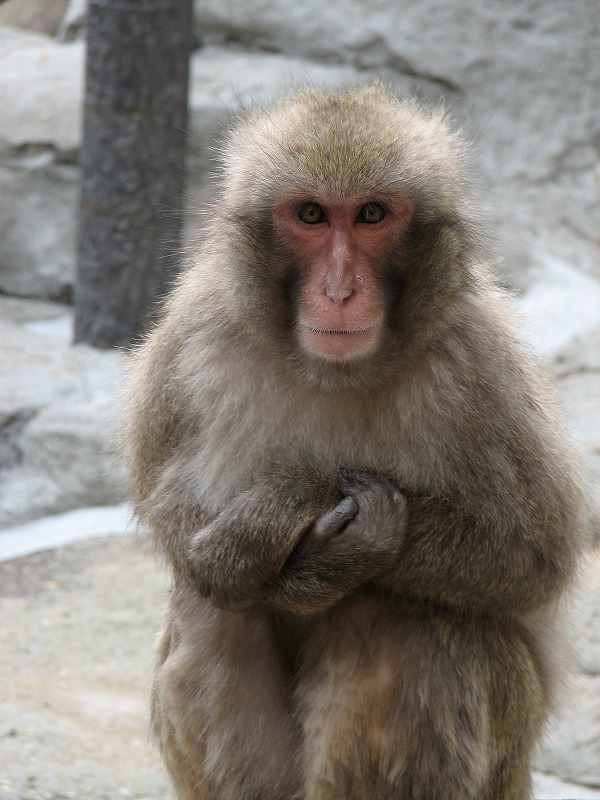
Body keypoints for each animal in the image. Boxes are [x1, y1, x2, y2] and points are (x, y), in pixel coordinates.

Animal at [122, 87, 584, 800]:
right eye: (311, 214)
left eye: (371, 214)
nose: (339, 290)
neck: (334, 370)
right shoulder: (193, 332)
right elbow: (177, 520)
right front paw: (277, 531)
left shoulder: (479, 362)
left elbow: (531, 554)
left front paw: (334, 549)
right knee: (213, 613)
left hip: (511, 750)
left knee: (403, 621)